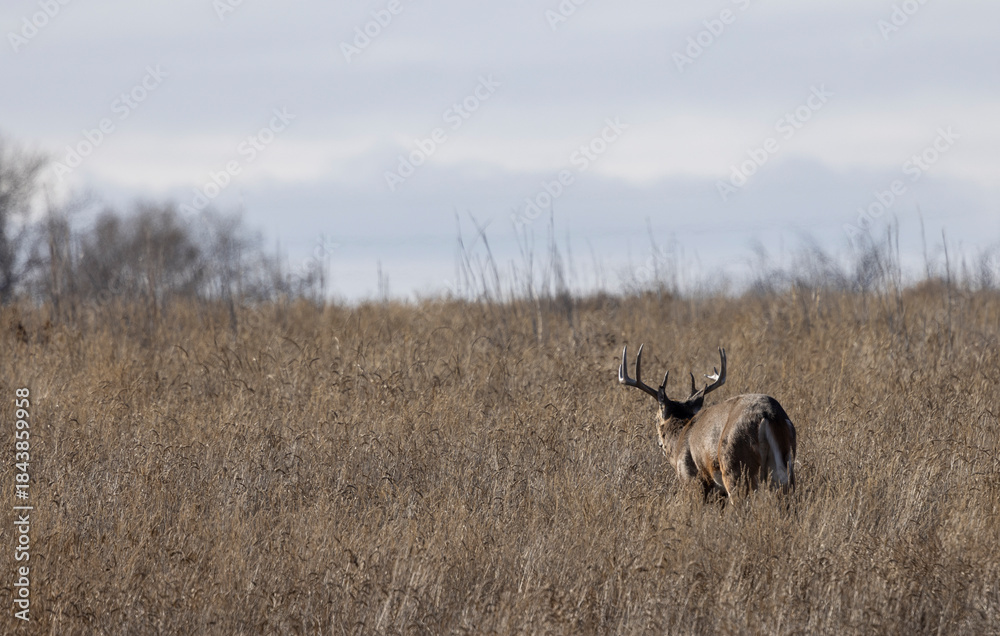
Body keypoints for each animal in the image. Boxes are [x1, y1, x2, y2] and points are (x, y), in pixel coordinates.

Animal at [618, 345, 796, 499]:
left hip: (735, 465)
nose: (659, 443)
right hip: (784, 467)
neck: (679, 439)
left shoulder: (691, 478)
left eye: (655, 419)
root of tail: (768, 415)